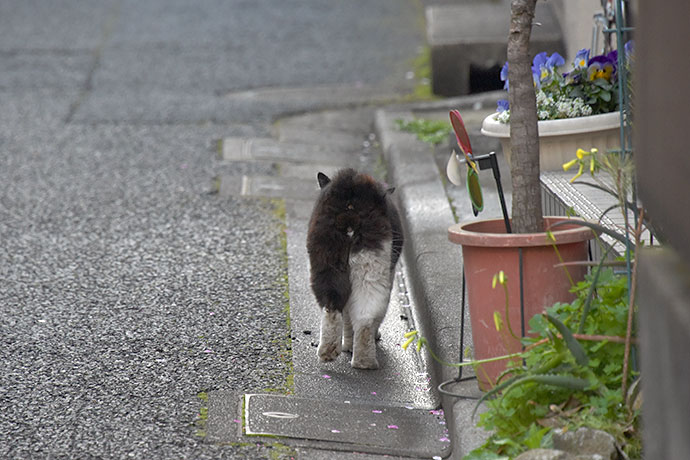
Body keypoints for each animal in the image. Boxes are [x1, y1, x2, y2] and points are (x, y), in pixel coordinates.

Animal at [306, 169, 404, 370]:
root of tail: (350, 209)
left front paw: (347, 346)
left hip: (327, 262)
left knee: (334, 305)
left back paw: (330, 352)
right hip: (372, 268)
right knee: (366, 314)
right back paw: (364, 360)